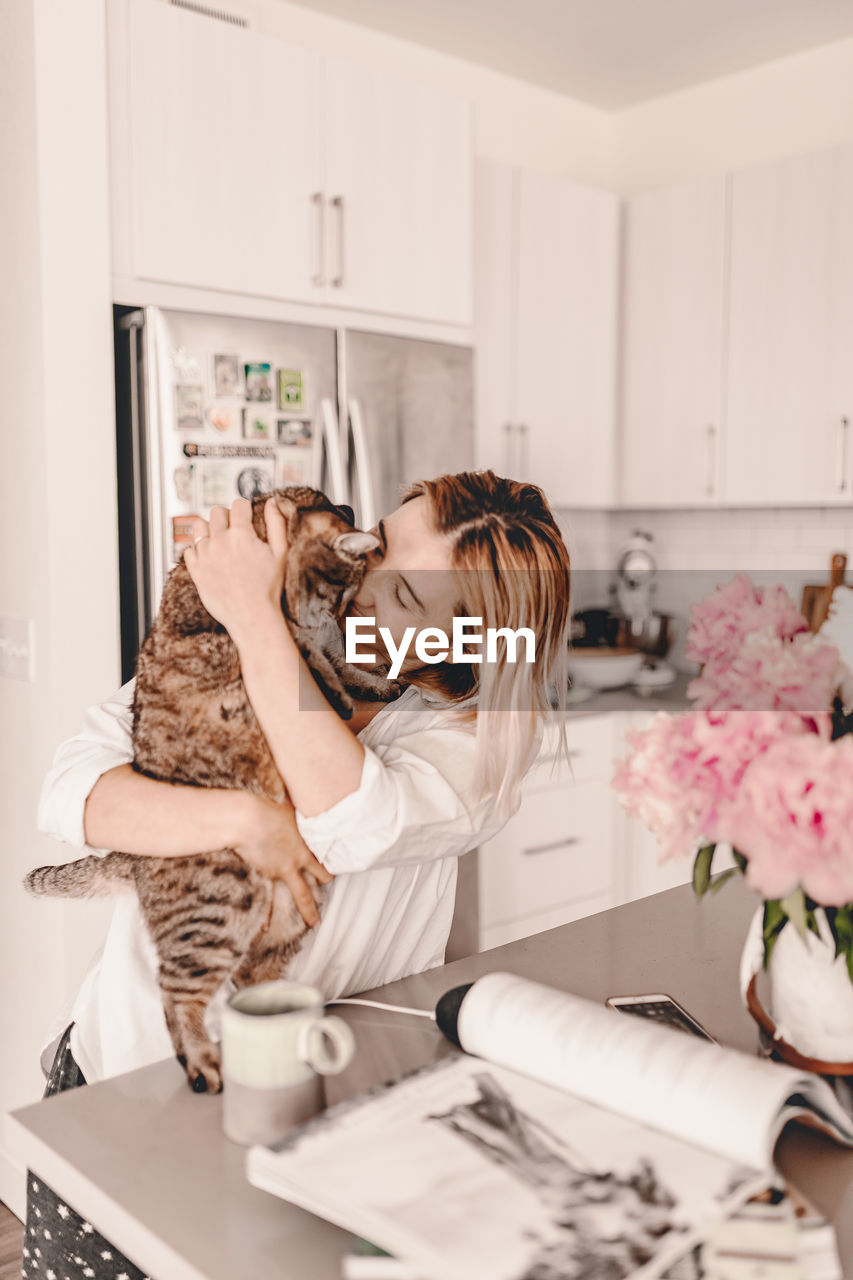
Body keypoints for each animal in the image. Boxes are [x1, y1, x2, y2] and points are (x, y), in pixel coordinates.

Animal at [26, 486, 399, 1090]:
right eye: (342, 589)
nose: (339, 616)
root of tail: (133, 861)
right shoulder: (266, 633)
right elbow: (312, 661)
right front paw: (341, 683)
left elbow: (333, 662)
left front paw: (370, 681)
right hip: (213, 913)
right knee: (177, 996)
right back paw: (204, 1063)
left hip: (285, 917)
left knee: (248, 981)